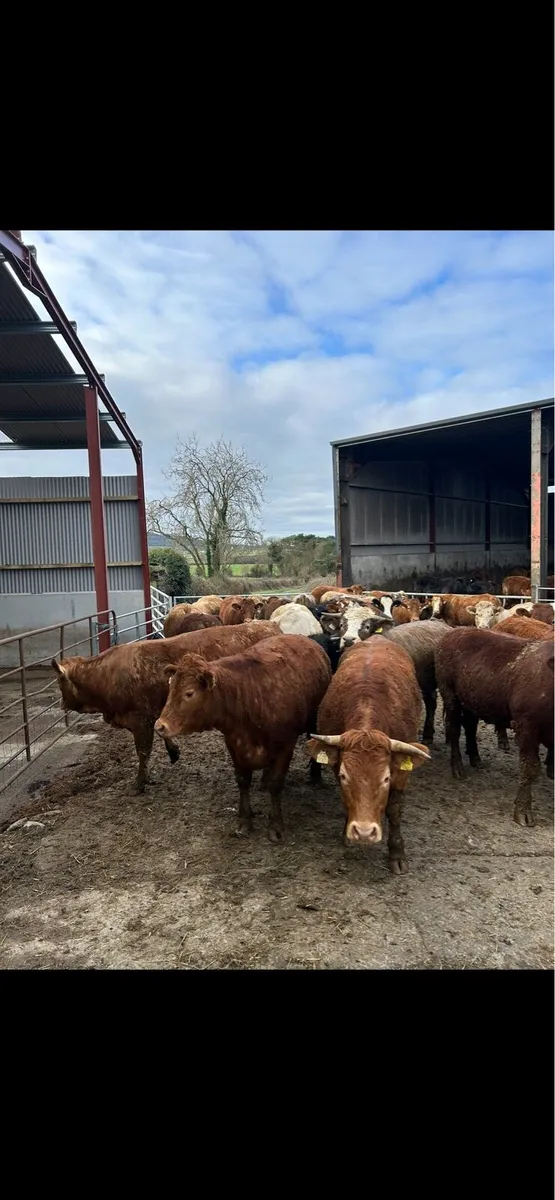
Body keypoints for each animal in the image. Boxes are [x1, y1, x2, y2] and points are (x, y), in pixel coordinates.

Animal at [51, 621, 280, 793]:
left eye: (59, 681)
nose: (61, 703)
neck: (108, 675)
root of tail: (268, 625)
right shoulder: (155, 713)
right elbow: (163, 730)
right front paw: (173, 751)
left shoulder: (140, 720)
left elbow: (143, 751)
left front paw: (140, 781)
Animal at [154, 634, 332, 842]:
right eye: (170, 689)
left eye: (189, 693)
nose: (160, 725)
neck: (248, 697)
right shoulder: (234, 744)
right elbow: (243, 781)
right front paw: (245, 820)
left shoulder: (285, 745)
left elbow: (276, 784)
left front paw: (275, 825)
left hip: (314, 720)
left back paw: (316, 776)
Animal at [305, 639, 431, 874]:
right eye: (344, 776)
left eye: (386, 778)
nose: (364, 832)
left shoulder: (401, 774)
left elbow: (394, 810)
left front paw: (397, 853)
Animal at [435, 629, 554, 826]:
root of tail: (453, 632)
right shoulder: (527, 727)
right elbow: (529, 768)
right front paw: (523, 811)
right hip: (450, 696)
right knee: (454, 729)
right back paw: (458, 768)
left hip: (471, 702)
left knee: (470, 727)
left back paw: (475, 758)